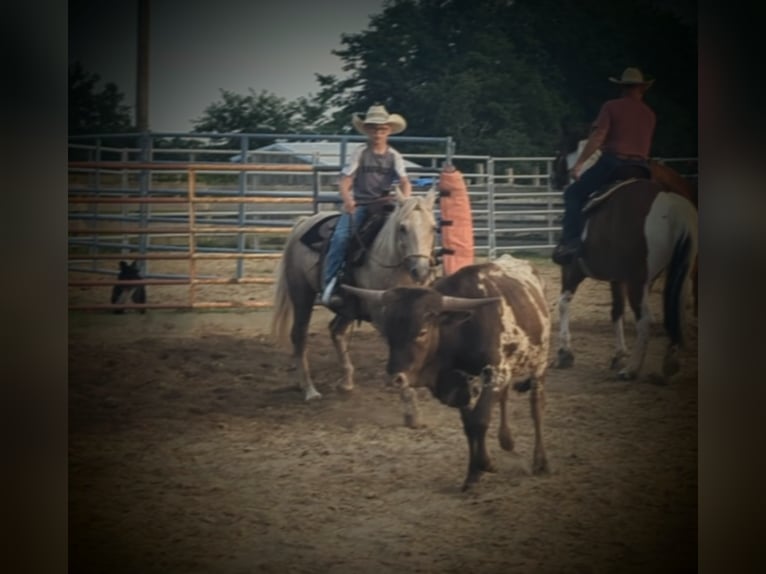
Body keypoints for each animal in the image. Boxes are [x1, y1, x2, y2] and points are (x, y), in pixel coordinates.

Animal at [552, 142, 704, 380]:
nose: (554, 178)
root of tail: (671, 207)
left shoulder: (572, 269)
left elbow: (563, 303)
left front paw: (564, 353)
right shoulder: (617, 279)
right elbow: (617, 311)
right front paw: (618, 354)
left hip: (637, 280)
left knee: (645, 319)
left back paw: (631, 369)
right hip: (680, 271)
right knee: (676, 311)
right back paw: (669, 362)